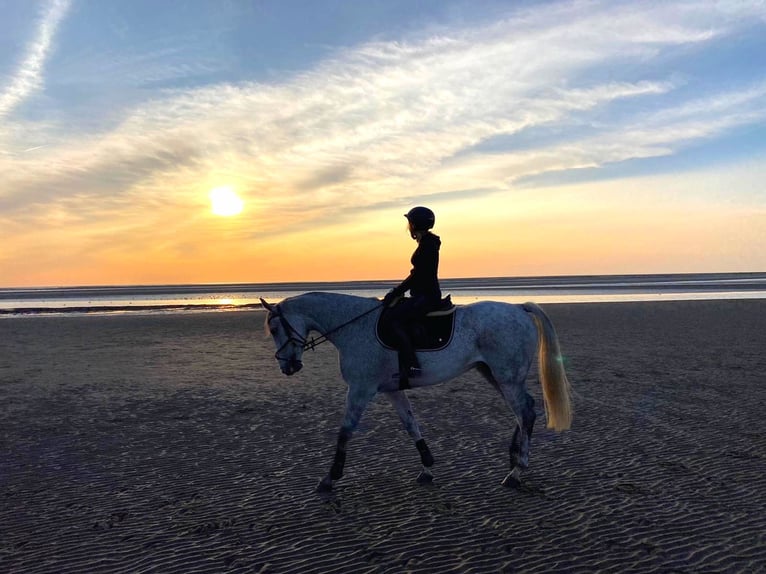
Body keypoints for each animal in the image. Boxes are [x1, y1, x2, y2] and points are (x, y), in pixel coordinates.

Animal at [260, 294, 572, 492]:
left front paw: (330, 478)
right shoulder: (392, 391)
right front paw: (427, 468)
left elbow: (345, 432)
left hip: (507, 378)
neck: (354, 327)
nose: (287, 367)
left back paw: (517, 471)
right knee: (523, 411)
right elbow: (411, 425)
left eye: (274, 328)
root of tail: (519, 308)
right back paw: (513, 459)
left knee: (525, 412)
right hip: (494, 374)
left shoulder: (360, 389)